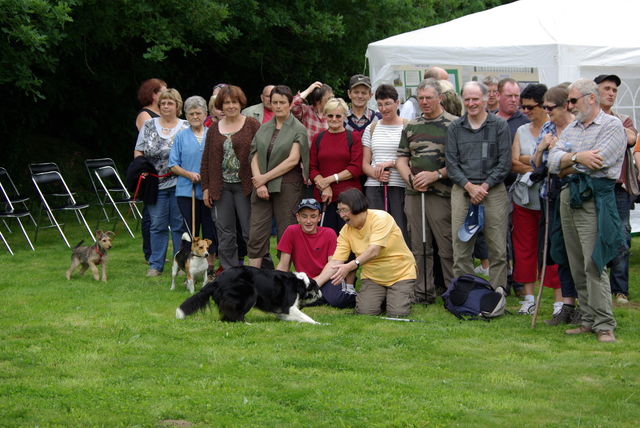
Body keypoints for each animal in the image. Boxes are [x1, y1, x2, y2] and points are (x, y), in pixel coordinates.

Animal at [175, 266, 322, 322]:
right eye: (317, 287)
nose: (321, 293)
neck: (300, 283)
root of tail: (217, 280)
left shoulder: (283, 312)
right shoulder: (288, 307)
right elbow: (307, 318)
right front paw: (320, 324)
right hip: (250, 293)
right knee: (234, 317)